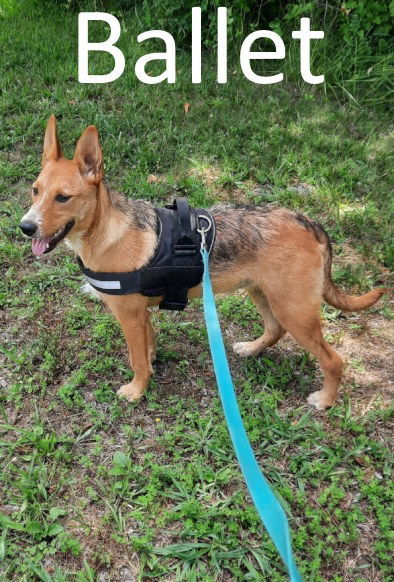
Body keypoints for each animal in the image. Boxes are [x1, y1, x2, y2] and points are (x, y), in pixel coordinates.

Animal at [20, 116, 386, 412]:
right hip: (264, 294)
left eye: (63, 198)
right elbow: (148, 348)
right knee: (274, 330)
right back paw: (252, 349)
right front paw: (151, 368)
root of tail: (308, 222)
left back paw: (325, 400)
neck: (105, 231)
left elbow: (137, 360)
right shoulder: (142, 315)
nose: (25, 227)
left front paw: (137, 390)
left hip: (295, 310)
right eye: (35, 191)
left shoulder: (130, 316)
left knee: (333, 360)